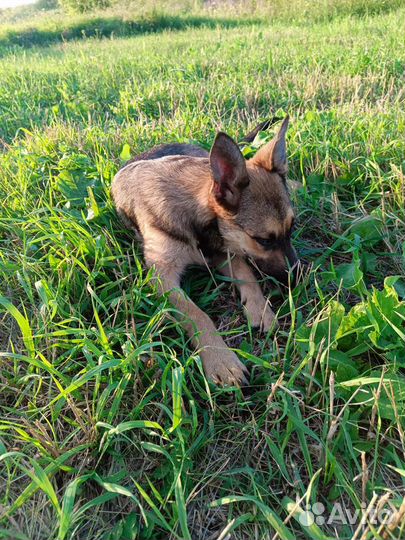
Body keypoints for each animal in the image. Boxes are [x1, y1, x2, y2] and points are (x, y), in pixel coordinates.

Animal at [110, 117, 296, 386]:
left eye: (293, 227)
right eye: (263, 240)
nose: (298, 277)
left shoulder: (225, 251)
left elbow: (248, 277)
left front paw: (261, 310)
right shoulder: (163, 276)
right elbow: (195, 313)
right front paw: (221, 359)